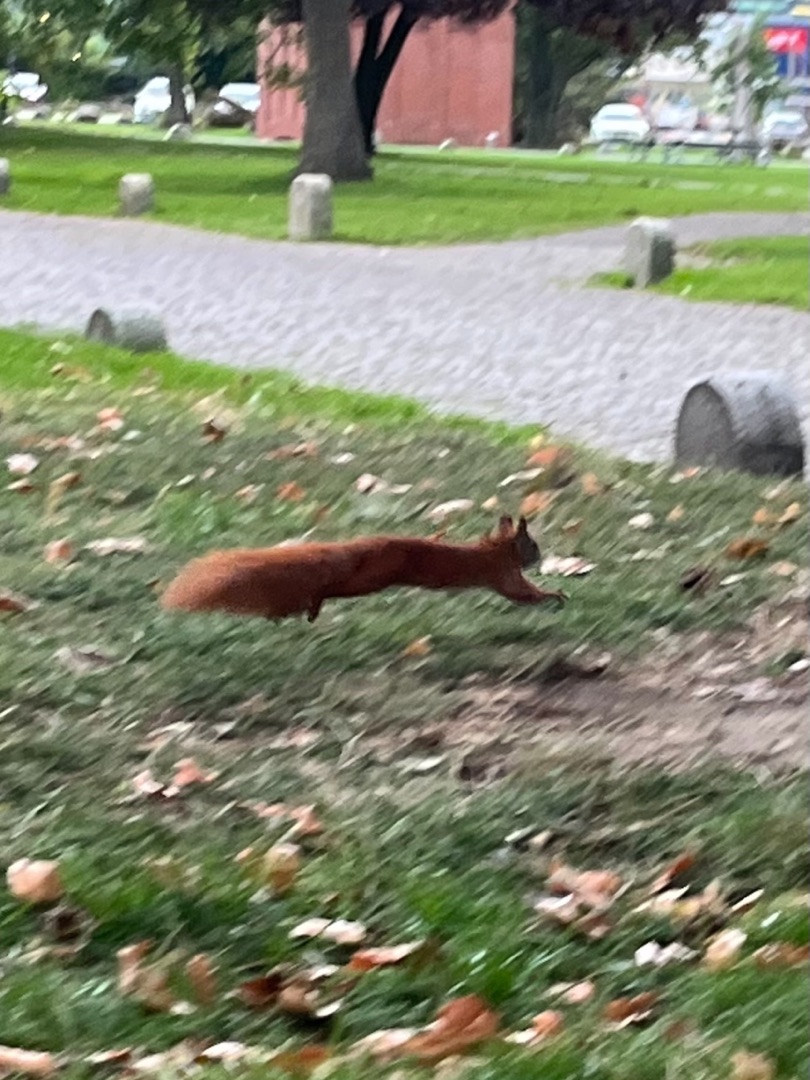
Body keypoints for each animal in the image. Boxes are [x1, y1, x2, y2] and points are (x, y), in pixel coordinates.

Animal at [160, 515, 566, 624]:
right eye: (532, 545)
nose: (539, 557)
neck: (497, 551)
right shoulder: (503, 577)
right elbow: (523, 596)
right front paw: (555, 595)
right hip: (369, 579)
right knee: (329, 587)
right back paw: (310, 606)